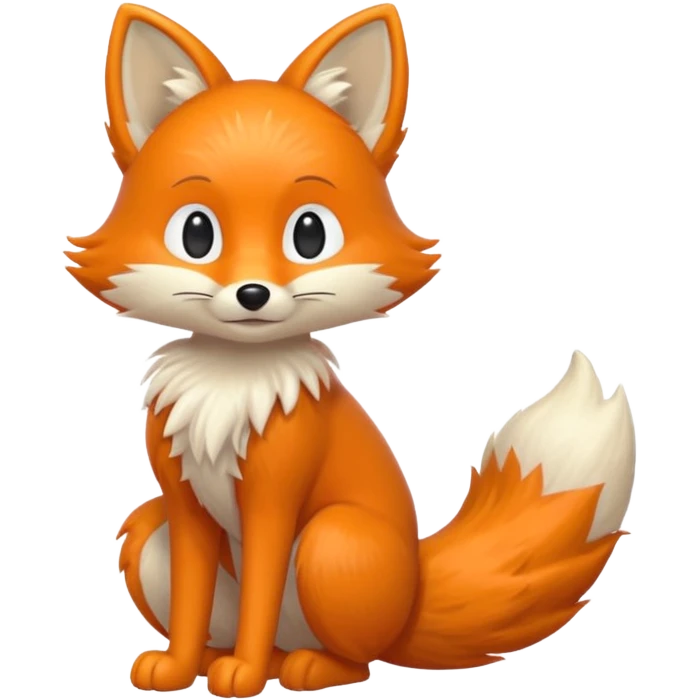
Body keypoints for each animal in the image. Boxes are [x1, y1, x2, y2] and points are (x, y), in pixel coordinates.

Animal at [64, 2, 638, 697]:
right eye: (196, 233)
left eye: (309, 234)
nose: (252, 294)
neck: (231, 385)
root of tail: (415, 598)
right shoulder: (183, 506)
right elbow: (192, 598)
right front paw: (177, 666)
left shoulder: (275, 501)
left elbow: (259, 592)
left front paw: (243, 676)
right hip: (152, 532)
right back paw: (219, 659)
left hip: (332, 542)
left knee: (356, 658)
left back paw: (298, 667)